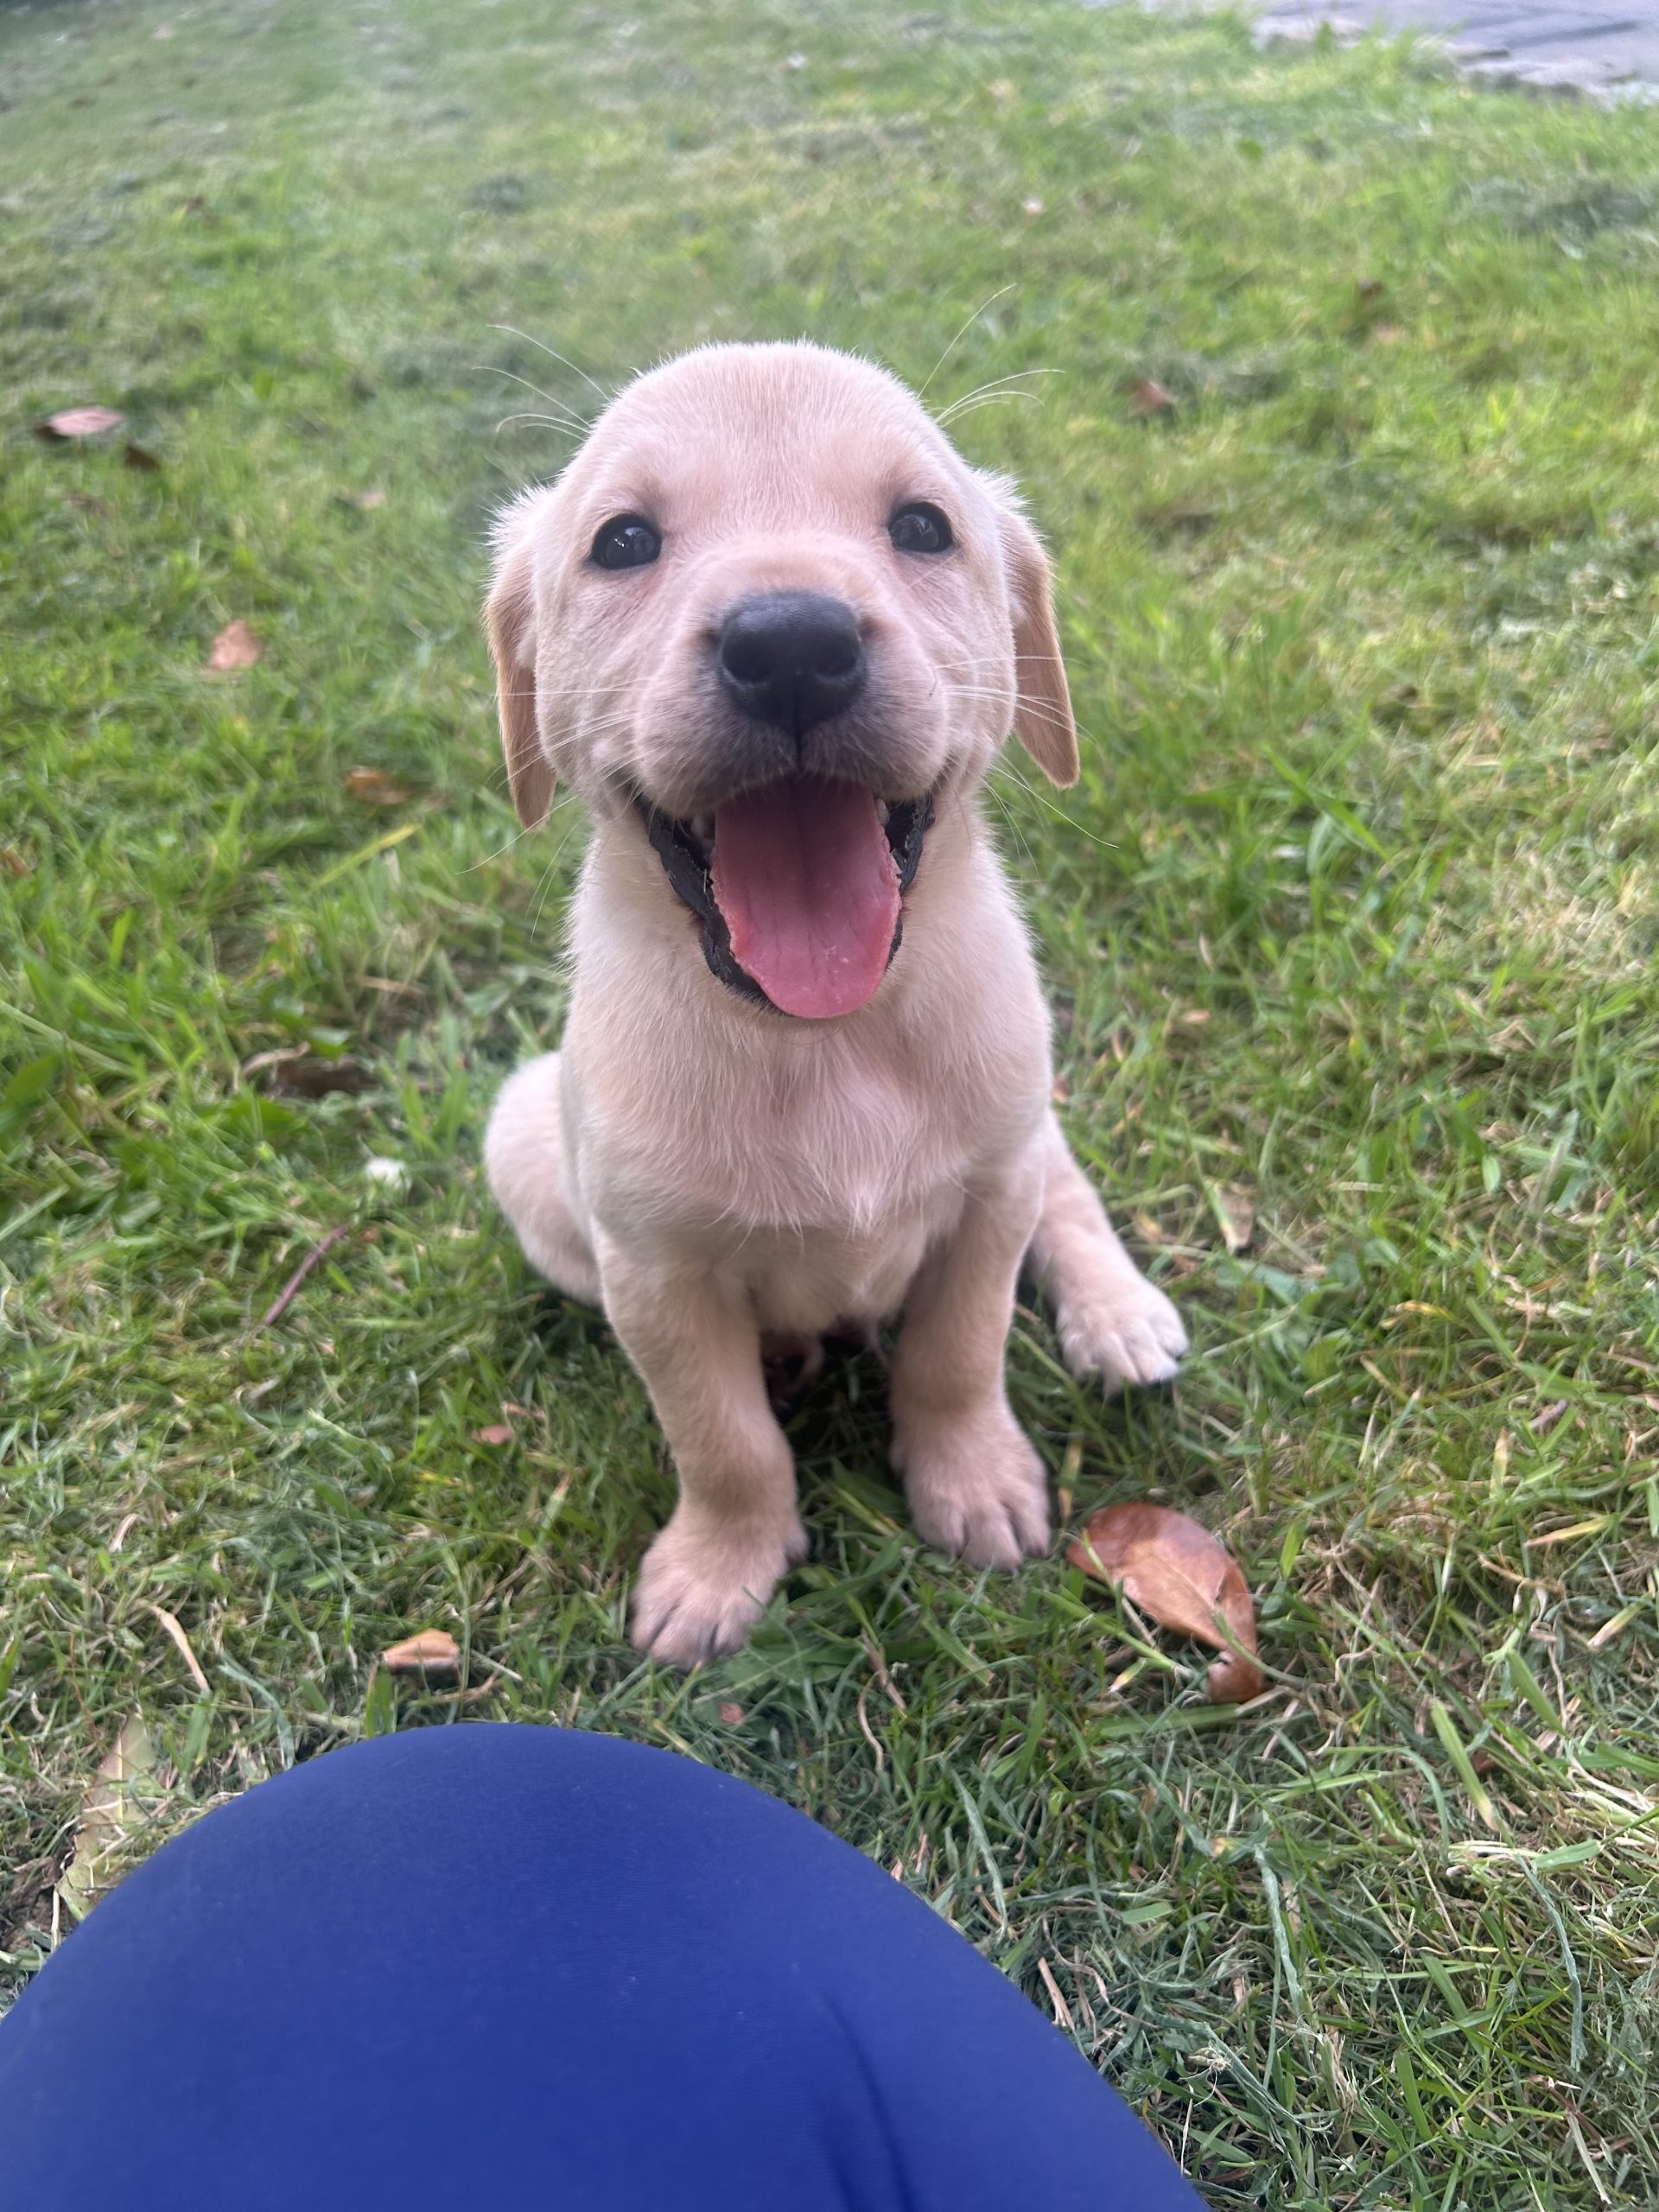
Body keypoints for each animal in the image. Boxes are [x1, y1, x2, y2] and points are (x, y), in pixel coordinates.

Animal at [486, 340, 1185, 1663]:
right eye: (622, 542)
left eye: (921, 527)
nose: (793, 645)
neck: (828, 1038)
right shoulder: (652, 1274)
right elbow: (724, 1443)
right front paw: (719, 1569)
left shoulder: (984, 1199)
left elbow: (956, 1359)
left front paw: (974, 1483)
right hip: (527, 1145)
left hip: (1021, 1115)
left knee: (1065, 1184)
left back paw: (1118, 1311)